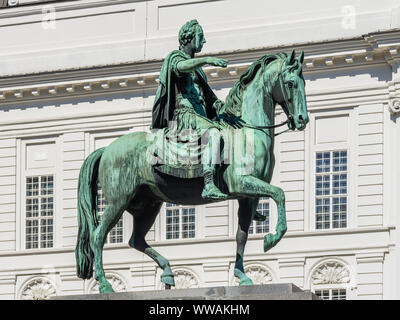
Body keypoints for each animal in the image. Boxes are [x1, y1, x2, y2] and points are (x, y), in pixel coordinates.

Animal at [76, 49, 310, 292]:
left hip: (148, 204)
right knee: (98, 236)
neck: (246, 132)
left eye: (303, 82)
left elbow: (241, 236)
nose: (302, 119)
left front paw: (242, 275)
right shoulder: (242, 182)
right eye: (290, 83)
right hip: (118, 200)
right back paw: (104, 284)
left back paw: (167, 272)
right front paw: (272, 238)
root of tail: (107, 149)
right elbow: (279, 194)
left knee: (136, 240)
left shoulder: (248, 197)